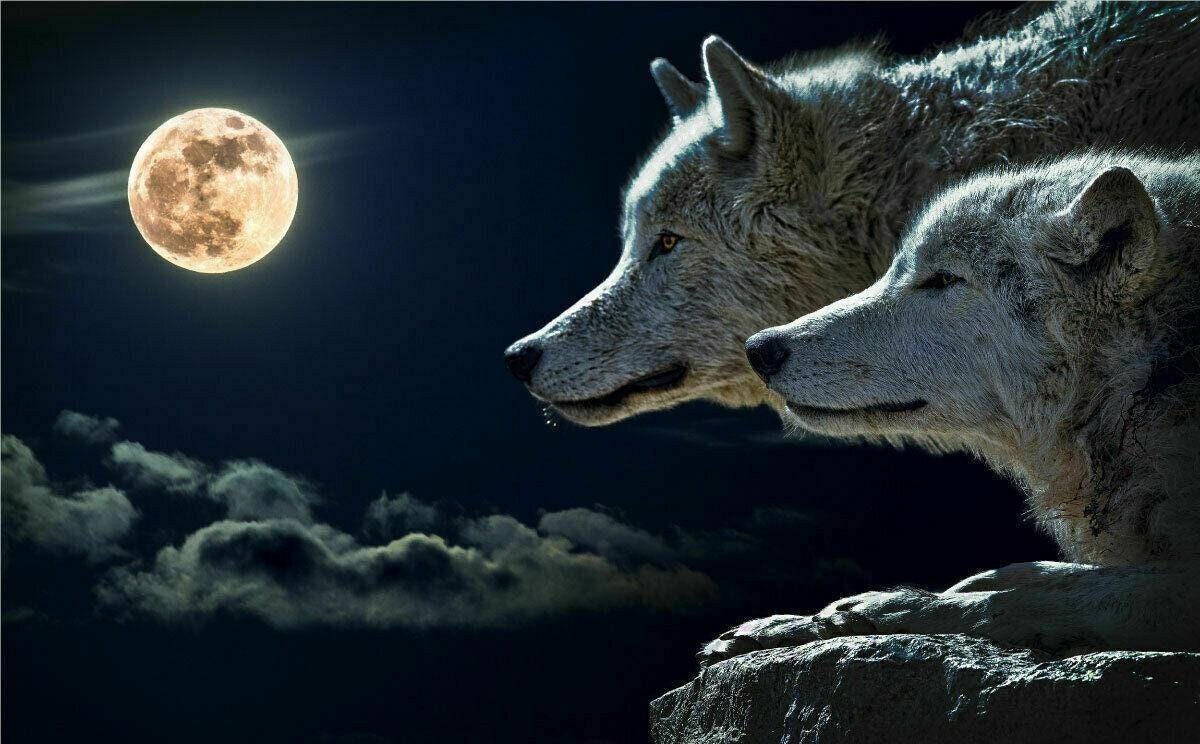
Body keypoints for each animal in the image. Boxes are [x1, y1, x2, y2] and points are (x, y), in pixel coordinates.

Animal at [700, 152, 1200, 664]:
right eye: (896, 270)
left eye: (943, 279)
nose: (759, 348)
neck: (1147, 378)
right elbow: (1032, 575)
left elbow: (1022, 600)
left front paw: (874, 611)